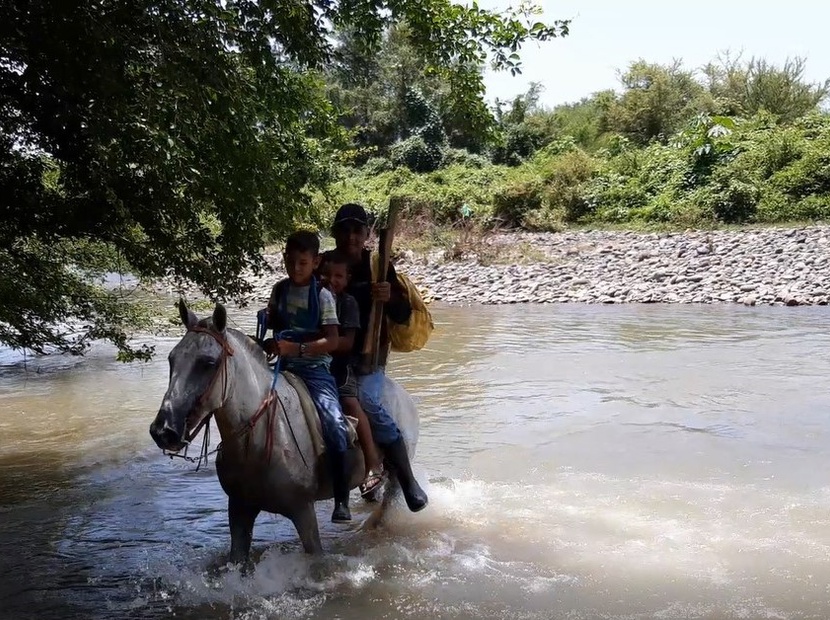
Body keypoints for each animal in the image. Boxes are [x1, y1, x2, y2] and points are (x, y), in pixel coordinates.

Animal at [148, 300, 422, 560]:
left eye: (208, 363)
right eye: (172, 359)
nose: (163, 430)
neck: (257, 440)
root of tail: (401, 393)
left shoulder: (303, 511)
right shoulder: (239, 510)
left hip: (395, 473)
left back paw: (415, 499)